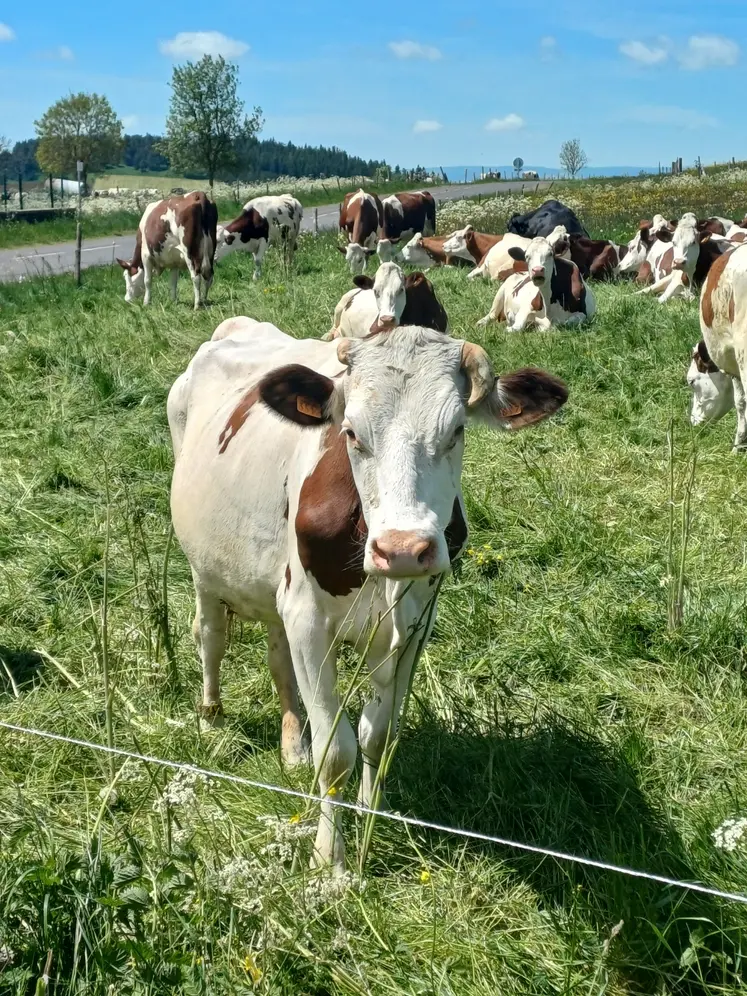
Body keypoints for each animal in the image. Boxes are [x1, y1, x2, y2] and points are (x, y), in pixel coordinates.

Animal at [167, 319, 568, 869]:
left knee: (276, 657)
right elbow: (335, 751)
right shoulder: (310, 623)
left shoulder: (412, 628)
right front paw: (330, 859)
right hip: (204, 568)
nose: (402, 549)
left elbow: (376, 736)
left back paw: (292, 745)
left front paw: (368, 818)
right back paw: (210, 721)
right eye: (351, 433)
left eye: (456, 431)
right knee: (210, 636)